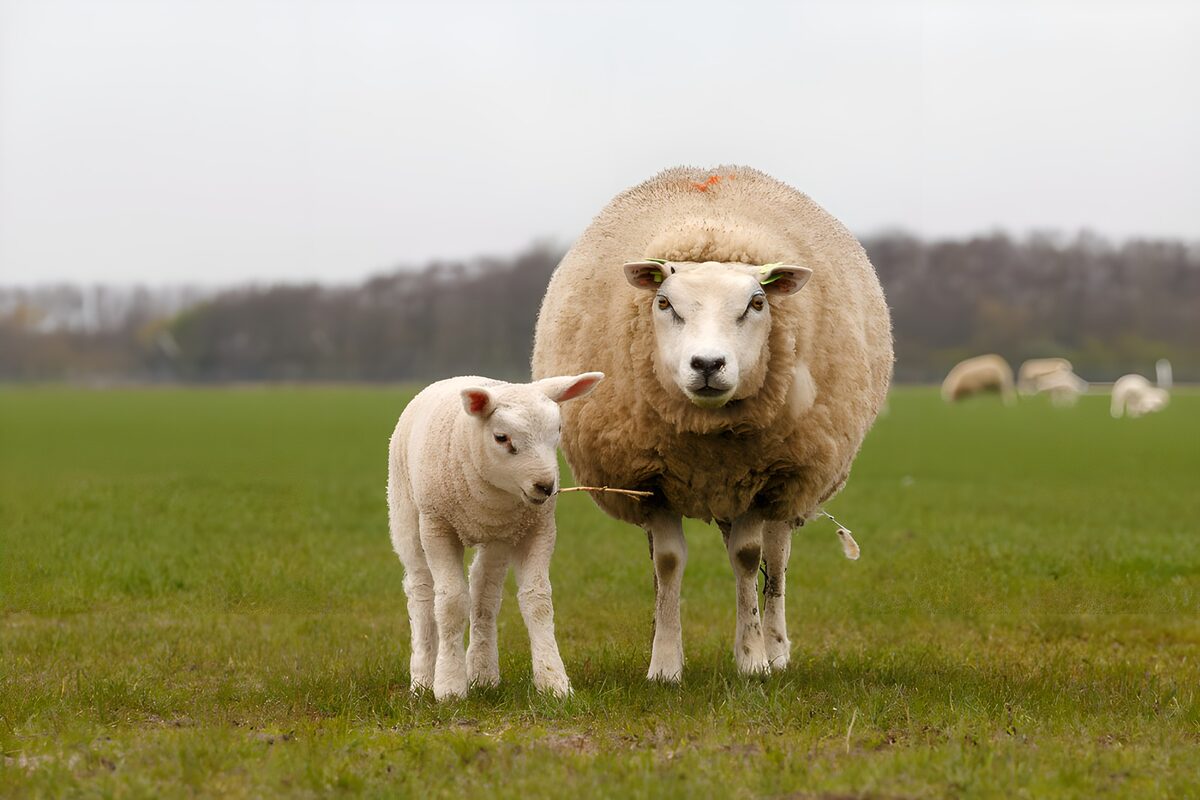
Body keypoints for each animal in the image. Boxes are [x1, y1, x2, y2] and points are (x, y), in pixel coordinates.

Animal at [387, 371, 603, 699]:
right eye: (502, 438)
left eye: (558, 430)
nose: (545, 486)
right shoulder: (437, 526)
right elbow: (451, 601)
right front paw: (449, 686)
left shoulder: (538, 528)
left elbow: (538, 600)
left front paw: (554, 682)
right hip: (407, 517)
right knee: (422, 592)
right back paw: (422, 681)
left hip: (498, 538)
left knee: (484, 592)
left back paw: (483, 673)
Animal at [531, 166, 892, 680]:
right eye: (664, 304)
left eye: (757, 303)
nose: (707, 364)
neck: (706, 438)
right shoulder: (650, 480)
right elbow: (667, 563)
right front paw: (665, 664)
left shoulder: (764, 477)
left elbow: (747, 558)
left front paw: (753, 659)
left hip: (782, 488)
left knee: (775, 562)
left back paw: (776, 648)